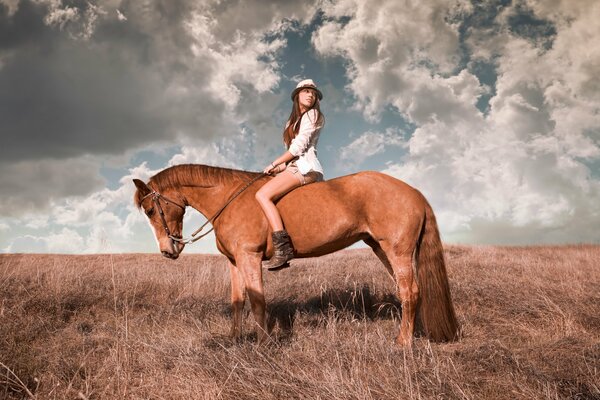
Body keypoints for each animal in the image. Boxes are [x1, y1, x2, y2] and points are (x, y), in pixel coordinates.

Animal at [134, 164, 458, 346]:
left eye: (150, 210)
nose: (168, 250)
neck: (228, 198)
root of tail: (413, 191)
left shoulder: (250, 258)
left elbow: (257, 300)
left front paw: (263, 344)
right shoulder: (234, 262)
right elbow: (238, 301)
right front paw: (234, 340)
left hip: (397, 250)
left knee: (411, 292)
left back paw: (403, 342)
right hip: (382, 249)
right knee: (411, 291)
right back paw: (415, 333)